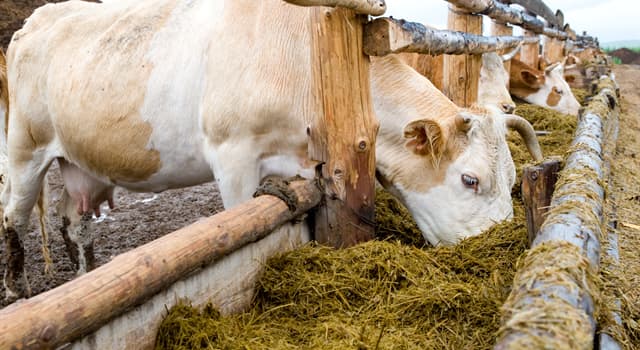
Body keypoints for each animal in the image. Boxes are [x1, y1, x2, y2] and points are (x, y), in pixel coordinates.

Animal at [0, 0, 544, 300]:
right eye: (470, 179)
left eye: (512, 180)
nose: (497, 244)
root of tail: (34, 22)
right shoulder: (232, 153)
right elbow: (236, 225)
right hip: (25, 150)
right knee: (14, 217)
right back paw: (18, 289)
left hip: (79, 163)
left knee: (76, 225)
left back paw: (84, 277)